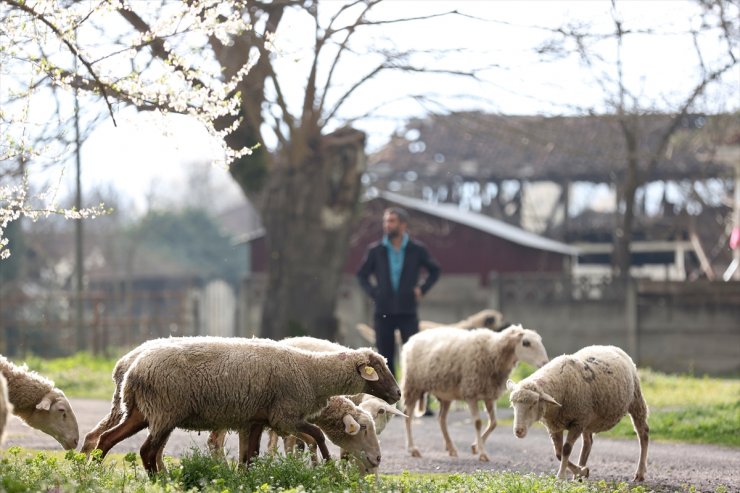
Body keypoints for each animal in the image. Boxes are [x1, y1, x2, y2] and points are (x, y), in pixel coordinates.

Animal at [95, 334, 402, 472]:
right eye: (378, 369)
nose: (398, 393)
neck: (310, 371)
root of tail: (133, 368)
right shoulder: (284, 417)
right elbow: (316, 435)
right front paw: (327, 466)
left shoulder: (256, 419)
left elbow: (250, 457)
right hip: (164, 412)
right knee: (147, 451)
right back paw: (162, 481)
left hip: (142, 412)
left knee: (106, 439)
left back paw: (93, 470)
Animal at [398, 324, 548, 460]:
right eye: (526, 343)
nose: (545, 363)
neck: (492, 351)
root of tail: (413, 338)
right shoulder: (470, 393)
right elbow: (478, 423)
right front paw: (482, 453)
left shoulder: (489, 395)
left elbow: (494, 423)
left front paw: (475, 446)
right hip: (412, 385)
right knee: (408, 415)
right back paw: (412, 449)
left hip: (445, 394)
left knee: (441, 419)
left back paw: (451, 448)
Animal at [506, 344, 652, 478]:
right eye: (513, 404)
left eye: (534, 403)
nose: (518, 431)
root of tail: (608, 346)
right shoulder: (555, 426)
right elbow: (558, 453)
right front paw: (581, 471)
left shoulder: (577, 422)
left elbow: (566, 450)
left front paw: (561, 476)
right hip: (588, 417)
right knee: (588, 443)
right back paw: (580, 472)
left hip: (635, 400)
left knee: (643, 433)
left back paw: (640, 473)